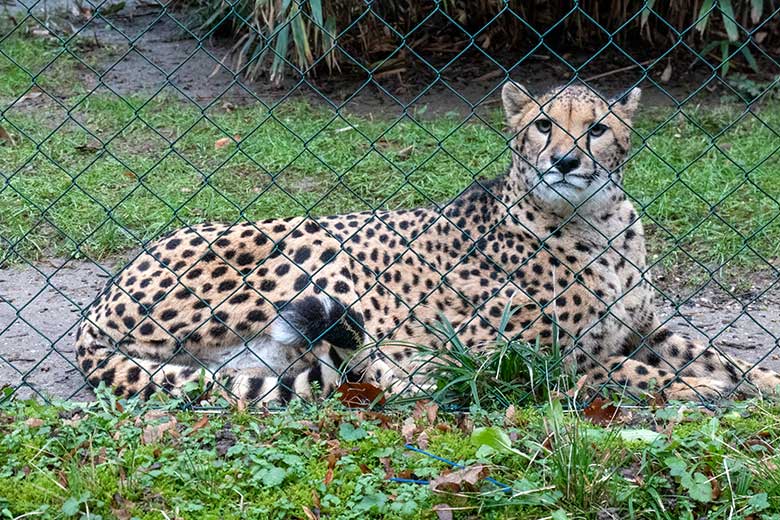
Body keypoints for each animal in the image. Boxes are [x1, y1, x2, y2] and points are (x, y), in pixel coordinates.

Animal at [74, 83, 780, 404]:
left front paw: (757, 380)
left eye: (598, 129)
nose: (565, 160)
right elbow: (617, 369)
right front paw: (693, 390)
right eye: (543, 125)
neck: (593, 222)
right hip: (304, 252)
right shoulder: (515, 353)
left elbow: (714, 356)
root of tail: (102, 295)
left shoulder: (645, 327)